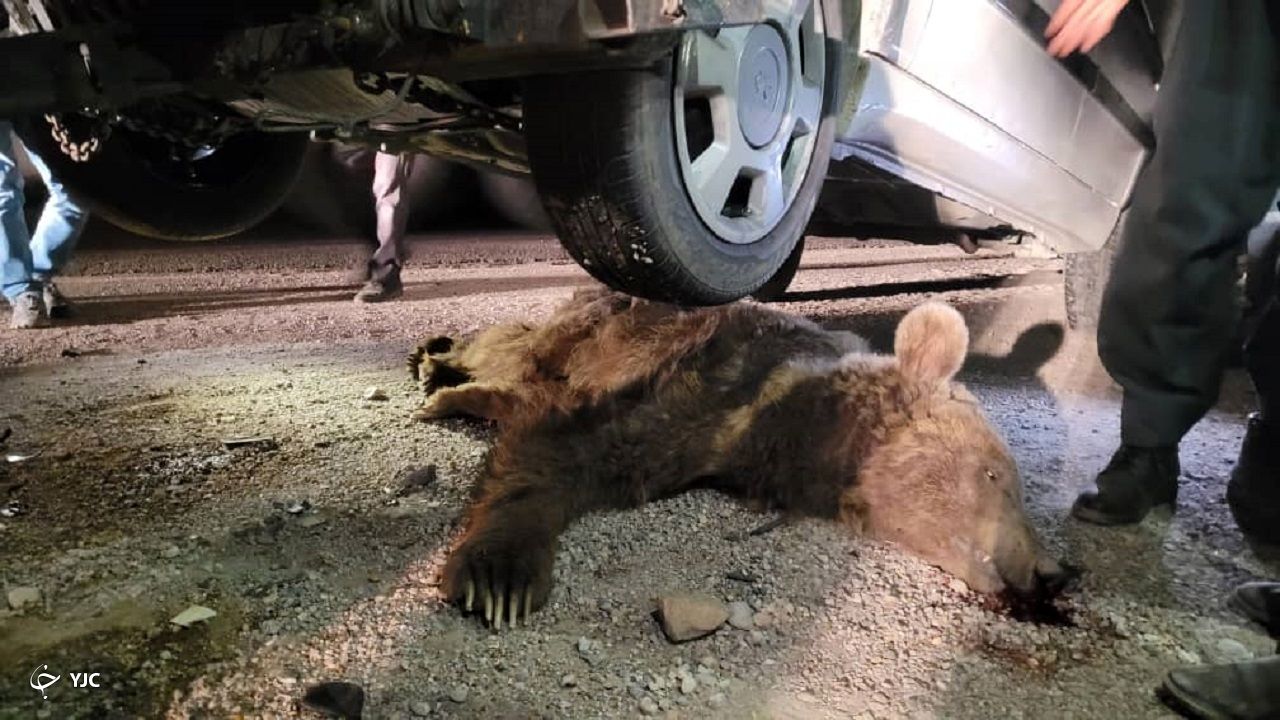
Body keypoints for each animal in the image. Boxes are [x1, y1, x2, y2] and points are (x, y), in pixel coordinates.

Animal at [409, 288, 1070, 625]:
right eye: (994, 474)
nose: (1052, 573)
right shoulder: (713, 390)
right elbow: (572, 448)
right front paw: (500, 576)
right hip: (586, 331)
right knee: (508, 349)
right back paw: (437, 365)